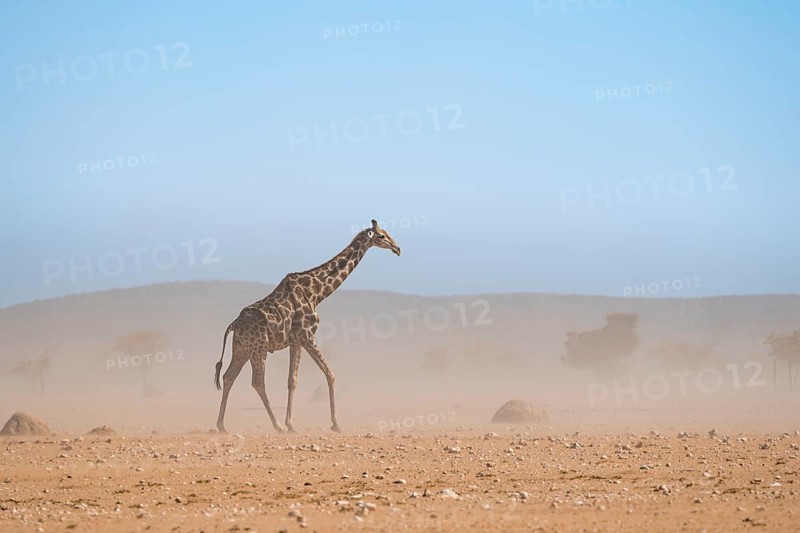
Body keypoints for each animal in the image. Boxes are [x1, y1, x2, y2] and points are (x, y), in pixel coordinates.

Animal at [213, 219, 401, 433]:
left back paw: (222, 426)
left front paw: (292, 424)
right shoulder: (307, 335)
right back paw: (277, 426)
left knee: (228, 377)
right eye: (381, 235)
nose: (397, 248)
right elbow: (330, 373)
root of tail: (233, 324)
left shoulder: (296, 341)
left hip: (241, 348)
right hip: (258, 348)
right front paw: (335, 423)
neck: (316, 293)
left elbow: (292, 381)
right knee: (257, 382)